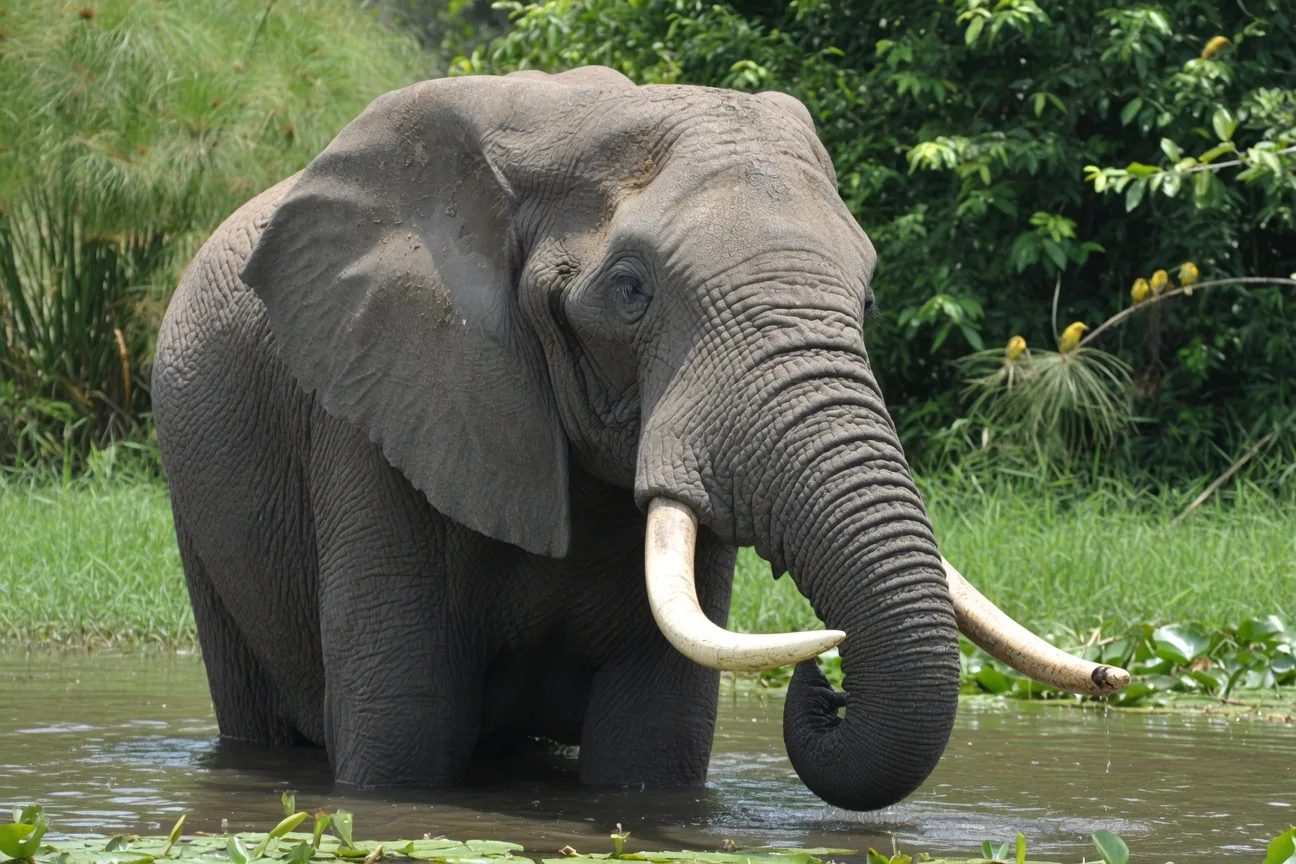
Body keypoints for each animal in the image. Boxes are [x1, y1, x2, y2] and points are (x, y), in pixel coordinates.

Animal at [152, 65, 1127, 812]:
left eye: (872, 296)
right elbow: (405, 729)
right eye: (630, 292)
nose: (825, 679)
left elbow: (654, 742)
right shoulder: (377, 410)